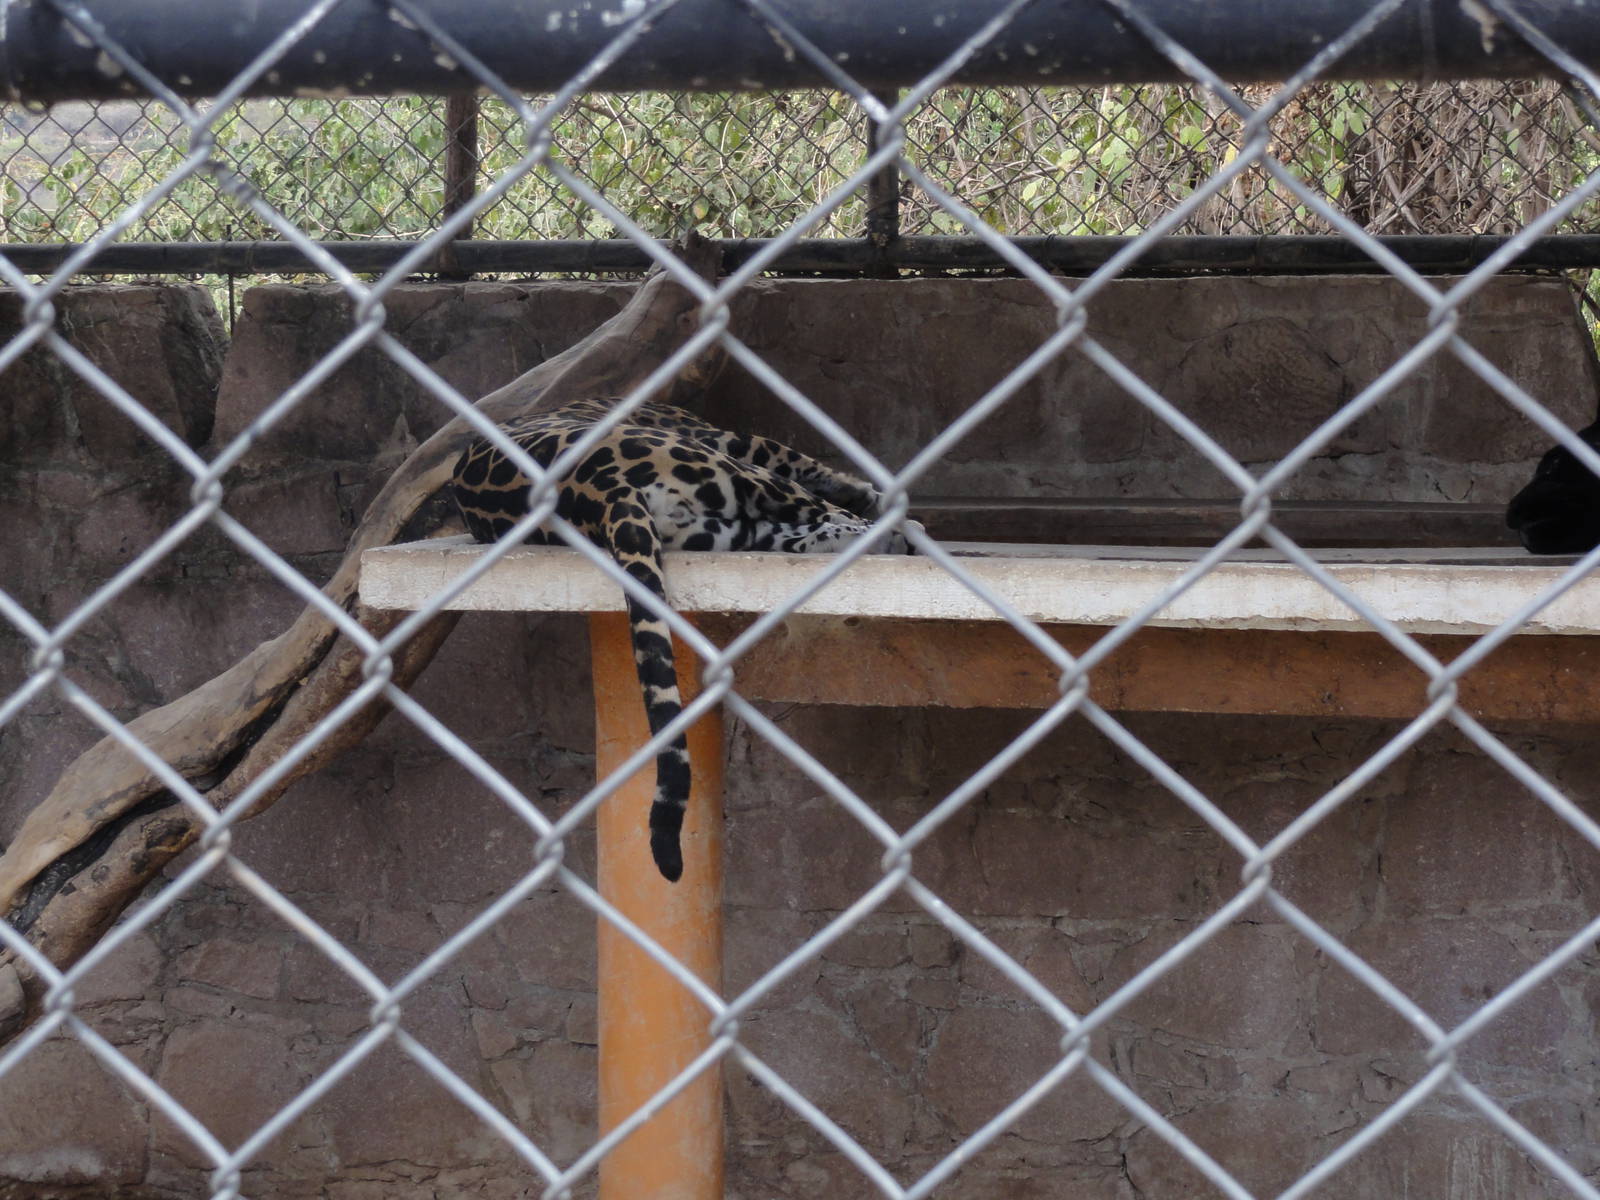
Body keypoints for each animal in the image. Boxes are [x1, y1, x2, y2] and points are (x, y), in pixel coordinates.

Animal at [450, 397, 916, 882]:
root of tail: (600, 495)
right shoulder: (740, 443)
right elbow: (810, 466)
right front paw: (868, 495)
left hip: (726, 528)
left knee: (808, 533)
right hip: (736, 471)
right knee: (813, 508)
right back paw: (889, 531)